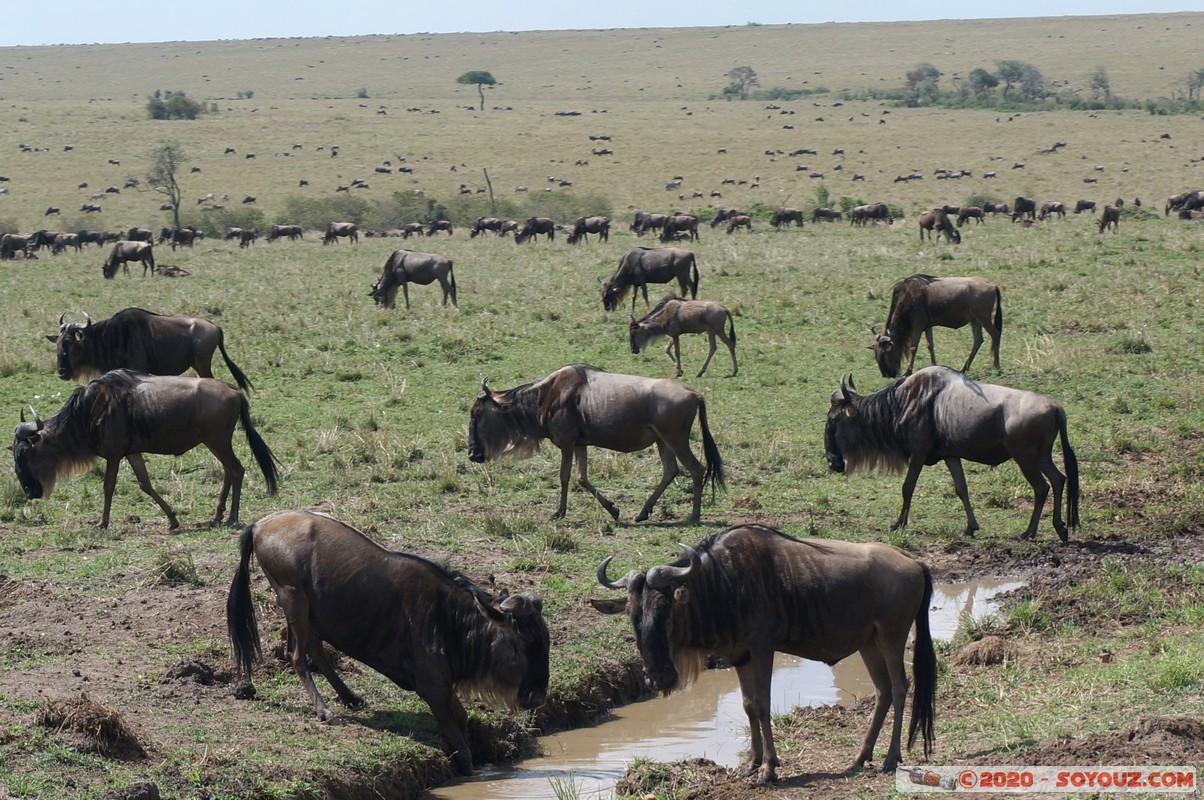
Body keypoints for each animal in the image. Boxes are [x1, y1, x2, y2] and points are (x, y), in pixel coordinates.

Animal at [12, 371, 279, 530]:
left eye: (24, 454)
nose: (29, 492)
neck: (88, 413)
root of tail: (236, 392)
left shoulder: (114, 455)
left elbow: (108, 486)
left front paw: (102, 522)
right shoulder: (132, 452)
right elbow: (145, 484)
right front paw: (172, 519)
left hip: (217, 441)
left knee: (236, 470)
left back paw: (232, 517)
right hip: (217, 443)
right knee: (228, 471)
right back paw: (217, 515)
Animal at [226, 506, 551, 775]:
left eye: (545, 641)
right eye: (525, 642)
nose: (538, 698)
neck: (449, 619)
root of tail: (259, 525)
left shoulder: (443, 688)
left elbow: (461, 719)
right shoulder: (433, 689)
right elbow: (462, 745)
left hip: (307, 610)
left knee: (314, 649)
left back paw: (350, 697)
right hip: (294, 599)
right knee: (297, 656)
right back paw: (325, 711)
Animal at [464, 363, 717, 525]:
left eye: (477, 414)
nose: (472, 454)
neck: (546, 396)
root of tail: (695, 394)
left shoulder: (567, 444)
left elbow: (565, 476)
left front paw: (559, 512)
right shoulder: (579, 445)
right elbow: (582, 478)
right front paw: (613, 510)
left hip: (676, 440)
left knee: (696, 469)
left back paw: (694, 516)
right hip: (662, 442)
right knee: (671, 471)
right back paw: (643, 512)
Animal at [592, 525, 939, 780]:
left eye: (666, 609)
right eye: (631, 613)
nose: (657, 679)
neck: (724, 582)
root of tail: (914, 562)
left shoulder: (762, 649)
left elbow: (762, 704)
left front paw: (768, 769)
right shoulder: (739, 655)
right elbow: (748, 706)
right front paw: (751, 764)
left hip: (892, 637)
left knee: (899, 687)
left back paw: (891, 759)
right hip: (869, 643)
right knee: (882, 691)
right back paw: (859, 758)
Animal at [828, 368, 1083, 544]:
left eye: (833, 420)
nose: (832, 462)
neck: (903, 402)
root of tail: (1055, 406)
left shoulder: (918, 453)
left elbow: (907, 487)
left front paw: (899, 524)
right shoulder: (951, 456)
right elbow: (961, 489)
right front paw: (971, 527)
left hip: (1026, 459)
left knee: (1041, 487)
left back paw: (1028, 532)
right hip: (1041, 457)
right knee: (1058, 479)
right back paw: (1060, 528)